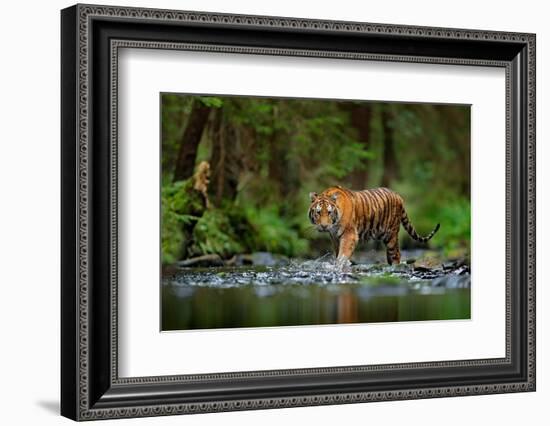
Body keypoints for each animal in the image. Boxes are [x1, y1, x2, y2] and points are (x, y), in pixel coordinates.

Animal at [308, 186, 442, 264]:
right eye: (318, 212)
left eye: (329, 212)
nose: (324, 226)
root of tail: (398, 196)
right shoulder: (335, 237)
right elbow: (338, 252)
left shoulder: (349, 234)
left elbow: (343, 253)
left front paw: (340, 265)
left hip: (391, 235)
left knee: (396, 254)